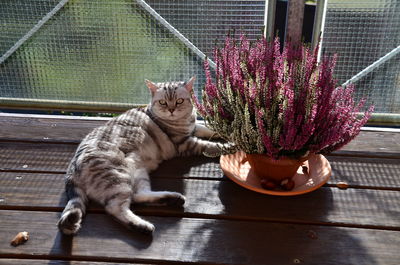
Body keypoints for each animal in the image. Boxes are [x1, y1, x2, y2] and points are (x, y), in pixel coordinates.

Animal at [57, 75, 233, 234]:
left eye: (179, 101)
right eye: (163, 102)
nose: (171, 110)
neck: (185, 120)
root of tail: (71, 168)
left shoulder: (194, 128)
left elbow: (208, 129)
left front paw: (228, 133)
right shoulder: (185, 143)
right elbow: (211, 145)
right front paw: (230, 145)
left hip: (138, 172)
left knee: (137, 195)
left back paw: (172, 199)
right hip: (118, 176)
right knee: (116, 207)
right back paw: (143, 226)